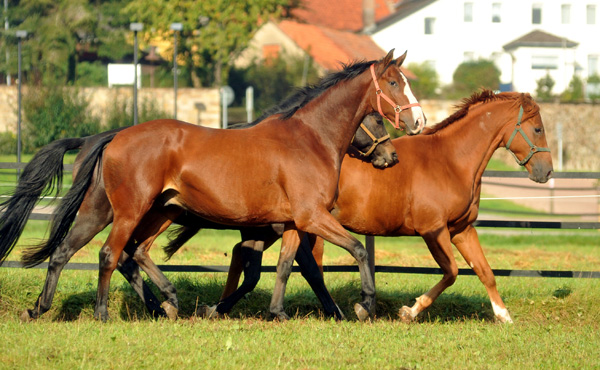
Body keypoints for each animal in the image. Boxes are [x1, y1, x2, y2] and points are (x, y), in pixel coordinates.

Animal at [0, 49, 424, 320]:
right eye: (392, 83)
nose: (417, 123)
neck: (308, 138)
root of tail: (114, 136)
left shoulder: (292, 223)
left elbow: (284, 267)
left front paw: (278, 313)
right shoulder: (312, 218)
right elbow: (357, 252)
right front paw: (363, 306)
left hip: (121, 210)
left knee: (76, 252)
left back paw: (45, 308)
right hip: (130, 211)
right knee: (110, 254)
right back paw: (107, 313)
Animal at [166, 89, 552, 320]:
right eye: (537, 129)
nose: (546, 172)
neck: (450, 161)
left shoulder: (461, 230)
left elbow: (485, 272)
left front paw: (503, 316)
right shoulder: (433, 231)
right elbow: (452, 272)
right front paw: (409, 311)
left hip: (274, 225)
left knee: (245, 255)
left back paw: (218, 307)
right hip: (288, 224)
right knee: (284, 264)